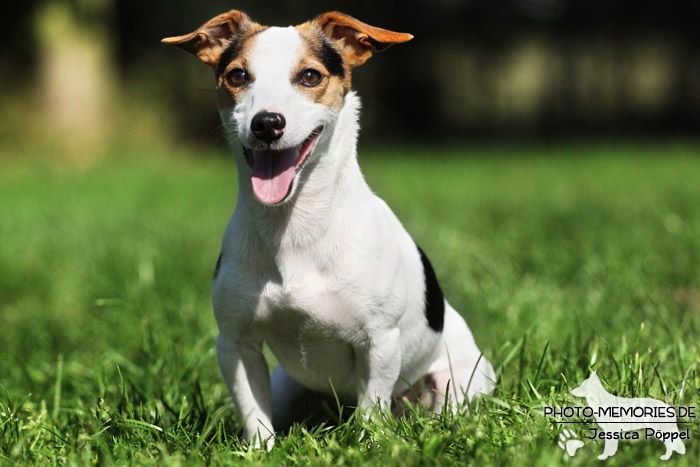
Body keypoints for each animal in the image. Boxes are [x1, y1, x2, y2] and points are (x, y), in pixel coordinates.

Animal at [163, 10, 498, 450]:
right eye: (237, 76)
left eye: (309, 76)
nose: (266, 123)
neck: (294, 226)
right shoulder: (236, 344)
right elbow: (254, 413)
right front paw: (259, 452)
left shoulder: (380, 342)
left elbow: (373, 407)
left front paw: (371, 446)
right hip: (286, 385)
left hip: (456, 384)